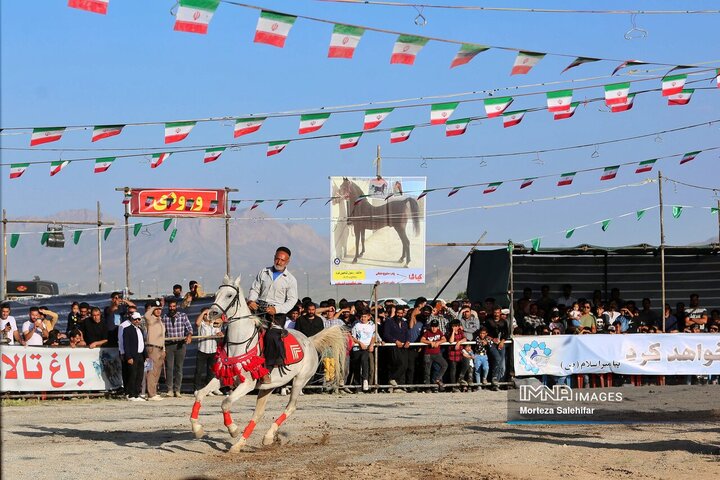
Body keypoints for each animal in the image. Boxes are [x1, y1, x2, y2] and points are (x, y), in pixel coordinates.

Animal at [191, 276, 348, 452]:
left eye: (230, 295)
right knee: (258, 415)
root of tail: (310, 341)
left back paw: (267, 436)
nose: (211, 314)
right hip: (268, 387)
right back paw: (241, 444)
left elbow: (225, 403)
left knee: (290, 407)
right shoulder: (224, 377)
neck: (239, 342)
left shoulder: (248, 384)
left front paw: (233, 429)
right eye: (217, 294)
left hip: (300, 380)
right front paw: (198, 430)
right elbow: (200, 394)